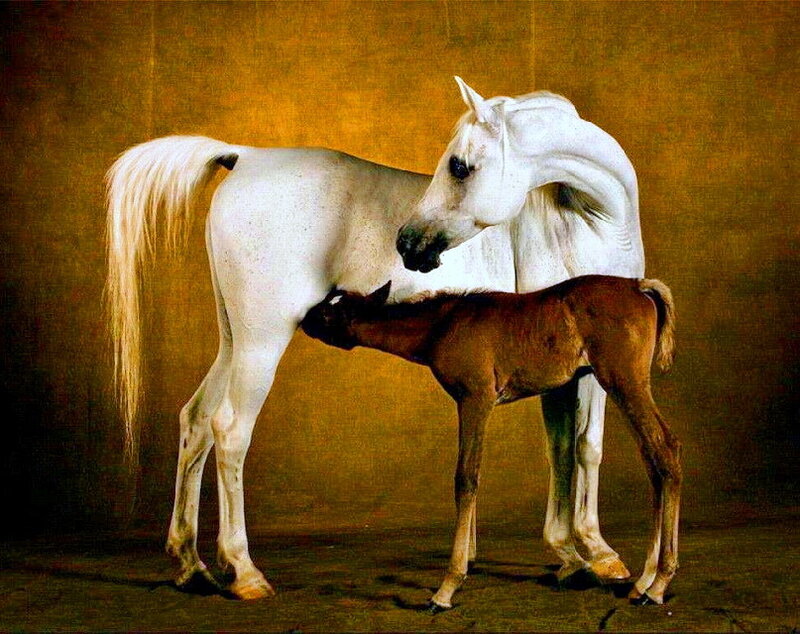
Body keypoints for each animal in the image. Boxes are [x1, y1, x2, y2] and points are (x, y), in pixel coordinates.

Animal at [105, 78, 640, 599]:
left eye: (459, 166)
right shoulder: (582, 366)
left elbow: (568, 448)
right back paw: (244, 570)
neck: (587, 223)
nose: (408, 243)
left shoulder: (567, 370)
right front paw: (596, 554)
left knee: (195, 421)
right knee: (231, 431)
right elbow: (583, 447)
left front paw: (571, 554)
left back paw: (190, 564)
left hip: (233, 341)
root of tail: (245, 157)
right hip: (261, 342)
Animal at [302, 276, 679, 609]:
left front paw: (448, 585)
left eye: (329, 311)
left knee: (666, 448)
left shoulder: (475, 398)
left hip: (623, 380)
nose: (305, 319)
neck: (443, 324)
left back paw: (658, 584)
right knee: (653, 458)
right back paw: (643, 581)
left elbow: (466, 477)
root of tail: (639, 285)